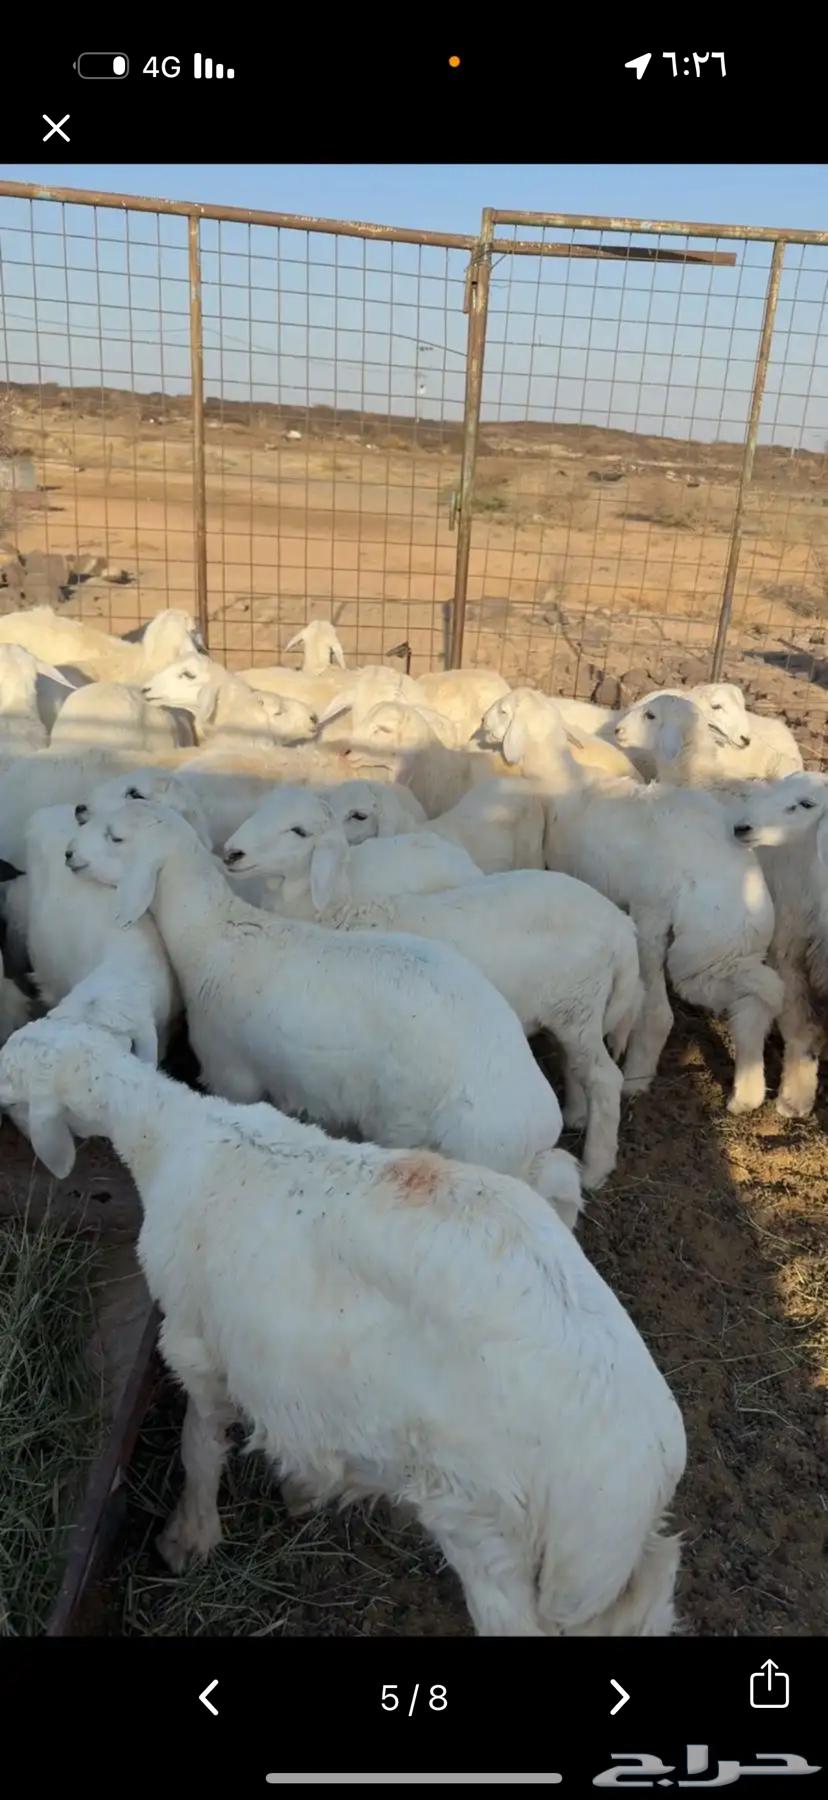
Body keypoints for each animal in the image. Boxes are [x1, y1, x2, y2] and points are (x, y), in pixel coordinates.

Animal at [0, 1016, 686, 1635]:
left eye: (10, 1079)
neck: (171, 1135)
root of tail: (643, 1474)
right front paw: (300, 1489)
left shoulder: (198, 1343)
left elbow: (199, 1446)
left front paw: (189, 1537)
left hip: (488, 1528)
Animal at [222, 804, 642, 1188]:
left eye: (298, 831)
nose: (231, 853)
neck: (335, 912)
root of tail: (621, 926)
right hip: (575, 1010)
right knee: (579, 1066)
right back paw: (576, 1114)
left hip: (578, 1005)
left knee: (605, 1078)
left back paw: (594, 1169)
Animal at [479, 689, 783, 1111]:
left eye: (504, 710)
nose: (479, 724)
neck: (563, 779)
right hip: (722, 947)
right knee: (757, 999)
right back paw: (747, 1093)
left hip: (670, 936)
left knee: (662, 1014)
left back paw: (637, 1079)